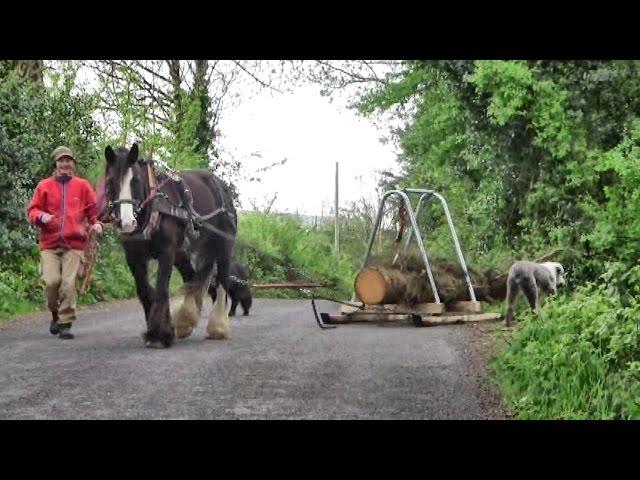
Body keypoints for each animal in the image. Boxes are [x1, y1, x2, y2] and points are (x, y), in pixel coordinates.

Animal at [103, 143, 238, 348]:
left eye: (135, 181)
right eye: (110, 182)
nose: (126, 223)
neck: (153, 209)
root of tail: (221, 187)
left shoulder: (166, 252)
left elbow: (161, 289)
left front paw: (161, 335)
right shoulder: (134, 257)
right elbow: (145, 291)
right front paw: (156, 331)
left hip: (223, 246)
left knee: (222, 280)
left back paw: (218, 327)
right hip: (182, 254)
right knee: (192, 278)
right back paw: (185, 321)